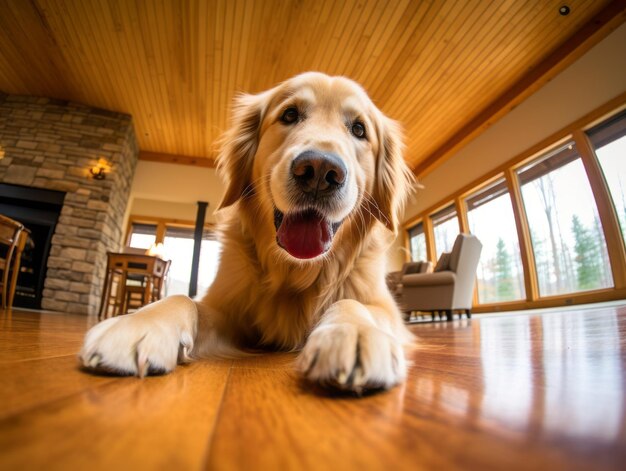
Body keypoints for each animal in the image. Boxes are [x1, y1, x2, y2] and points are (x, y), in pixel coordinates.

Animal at [81, 71, 414, 394]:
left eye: (359, 129)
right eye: (290, 114)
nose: (319, 171)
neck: (295, 273)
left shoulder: (386, 308)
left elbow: (353, 303)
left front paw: (353, 332)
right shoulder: (228, 311)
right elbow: (184, 299)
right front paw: (139, 323)